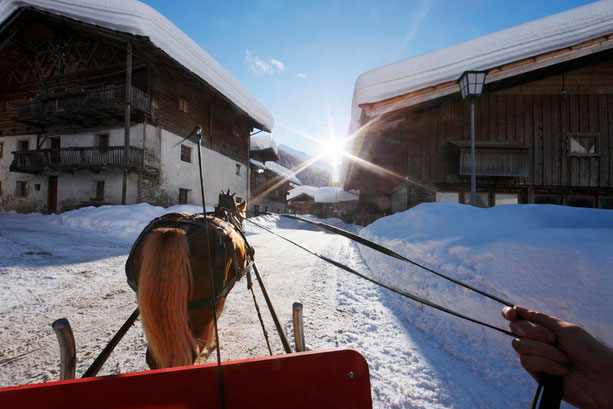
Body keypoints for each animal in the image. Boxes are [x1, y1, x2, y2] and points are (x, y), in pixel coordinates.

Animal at [124, 193, 251, 368]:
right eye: (244, 215)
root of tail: (175, 230)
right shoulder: (221, 297)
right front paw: (213, 342)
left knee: (153, 357)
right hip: (203, 309)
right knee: (192, 352)